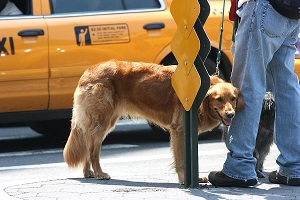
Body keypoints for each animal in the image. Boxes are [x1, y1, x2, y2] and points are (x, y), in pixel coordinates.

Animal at [63, 59, 244, 184]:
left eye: (233, 99)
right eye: (219, 99)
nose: (230, 114)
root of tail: (88, 71)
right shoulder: (179, 131)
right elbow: (181, 160)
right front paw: (184, 180)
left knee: (88, 147)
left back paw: (89, 172)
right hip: (102, 123)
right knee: (93, 151)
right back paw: (99, 173)